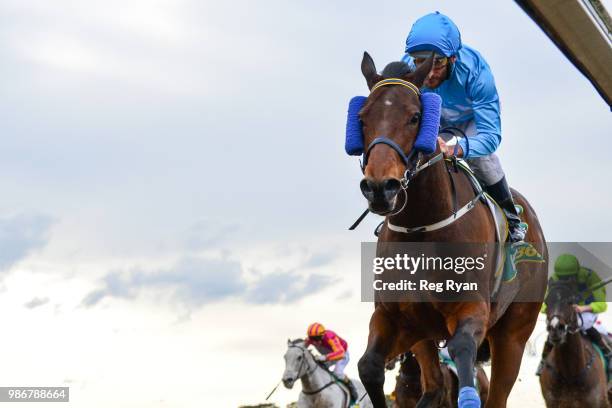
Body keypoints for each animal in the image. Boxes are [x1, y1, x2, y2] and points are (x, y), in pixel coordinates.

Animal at [352, 52, 548, 406]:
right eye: (361, 117)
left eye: (415, 117)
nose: (379, 188)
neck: (420, 228)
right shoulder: (397, 318)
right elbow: (369, 366)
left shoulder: (472, 309)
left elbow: (463, 349)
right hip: (425, 336)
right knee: (432, 386)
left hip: (513, 334)